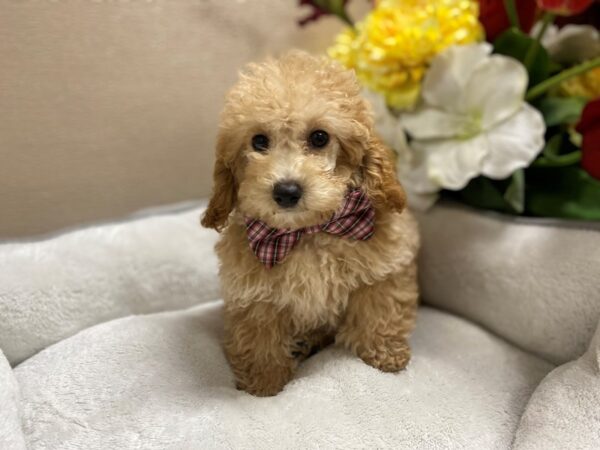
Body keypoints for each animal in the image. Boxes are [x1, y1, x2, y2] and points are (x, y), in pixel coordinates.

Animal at [202, 50, 418, 398]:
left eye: (319, 137)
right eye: (259, 141)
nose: (287, 191)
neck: (307, 232)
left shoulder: (383, 269)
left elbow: (379, 309)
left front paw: (385, 354)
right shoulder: (255, 296)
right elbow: (259, 339)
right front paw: (264, 383)